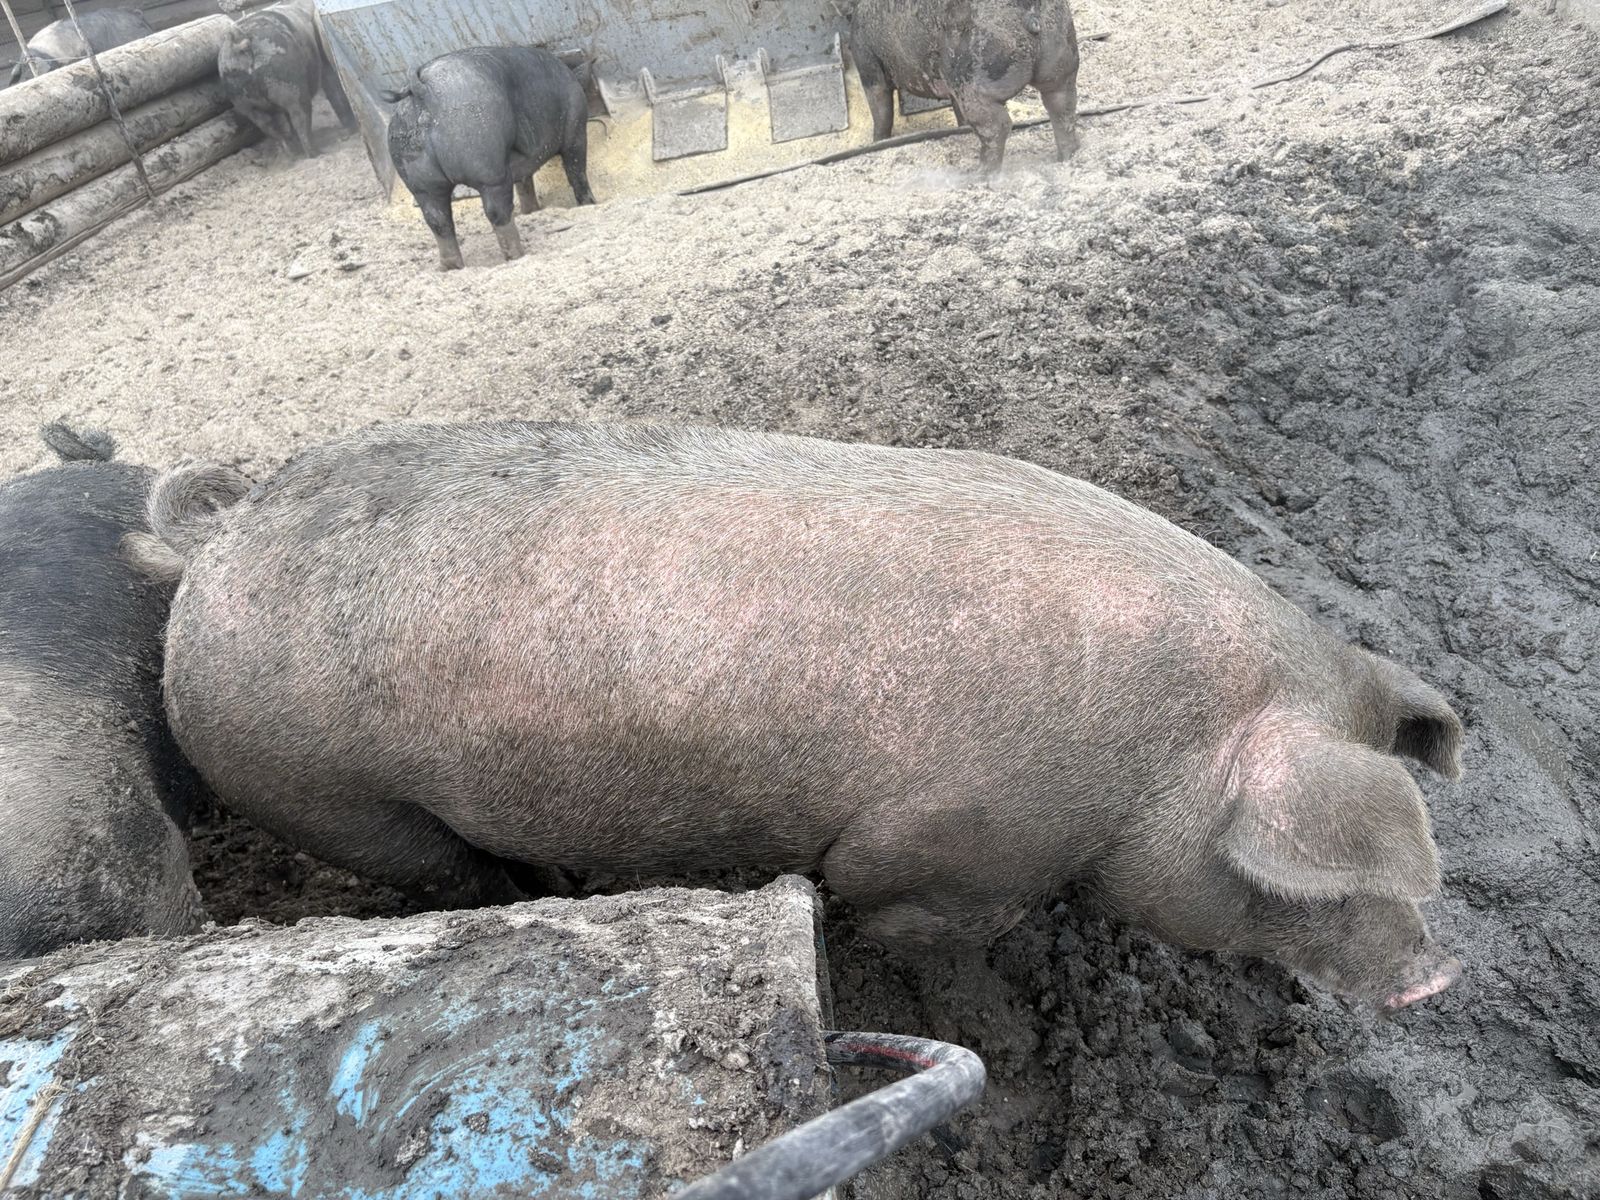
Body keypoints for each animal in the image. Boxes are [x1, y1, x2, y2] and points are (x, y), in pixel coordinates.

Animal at [129, 422, 1463, 1008]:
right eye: (1311, 891)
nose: (1436, 976)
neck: (1163, 766)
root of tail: (219, 540)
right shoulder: (949, 843)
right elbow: (898, 912)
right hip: (324, 789)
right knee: (444, 871)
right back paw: (537, 891)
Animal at [217, 0, 356, 159]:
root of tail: (240, 41)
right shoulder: (324, 59)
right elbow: (333, 85)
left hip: (243, 99)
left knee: (268, 126)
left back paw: (292, 153)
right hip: (289, 82)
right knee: (299, 117)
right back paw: (316, 153)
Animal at [383, 46, 597, 271]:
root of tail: (421, 91)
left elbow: (525, 182)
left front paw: (532, 211)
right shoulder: (575, 129)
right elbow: (576, 170)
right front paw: (590, 204)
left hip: (419, 182)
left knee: (438, 221)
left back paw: (451, 267)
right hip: (488, 165)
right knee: (496, 212)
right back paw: (517, 255)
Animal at [846, 0, 1079, 173]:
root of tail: (1029, 14)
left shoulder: (867, 61)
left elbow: (880, 108)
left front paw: (877, 142)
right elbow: (956, 109)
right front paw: (961, 128)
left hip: (974, 74)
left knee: (997, 125)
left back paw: (979, 174)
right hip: (1062, 54)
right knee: (1062, 107)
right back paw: (1066, 157)